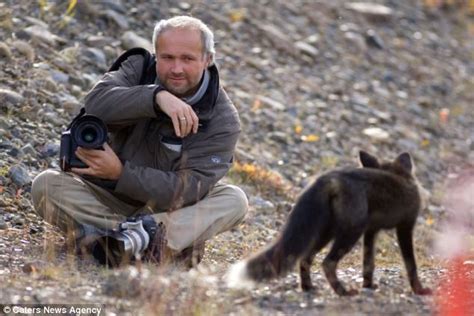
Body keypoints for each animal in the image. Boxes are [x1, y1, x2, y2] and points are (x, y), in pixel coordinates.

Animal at [228, 152, 432, 296]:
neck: (399, 175)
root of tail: (329, 178)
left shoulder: (371, 231)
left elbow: (368, 264)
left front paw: (368, 286)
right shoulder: (405, 226)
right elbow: (411, 264)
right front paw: (419, 290)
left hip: (326, 232)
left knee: (305, 259)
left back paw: (308, 288)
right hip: (350, 232)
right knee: (327, 263)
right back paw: (343, 292)